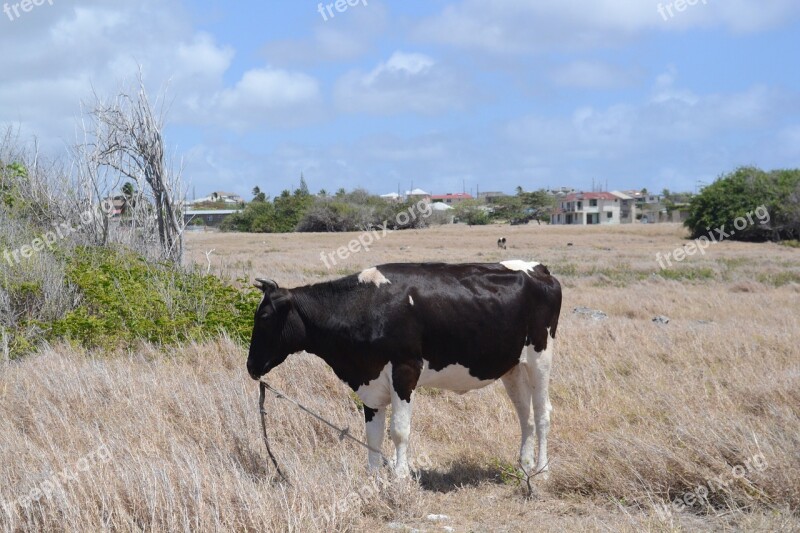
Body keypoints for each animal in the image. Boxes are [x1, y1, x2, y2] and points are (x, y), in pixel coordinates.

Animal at [250, 260, 564, 478]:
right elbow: (373, 435)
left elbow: (399, 431)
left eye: (264, 316)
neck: (363, 307)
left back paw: (542, 470)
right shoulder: (370, 380)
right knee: (525, 415)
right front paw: (373, 478)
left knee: (543, 413)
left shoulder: (405, 370)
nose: (251, 365)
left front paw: (401, 476)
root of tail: (540, 269)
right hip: (512, 367)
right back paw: (524, 465)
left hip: (541, 356)